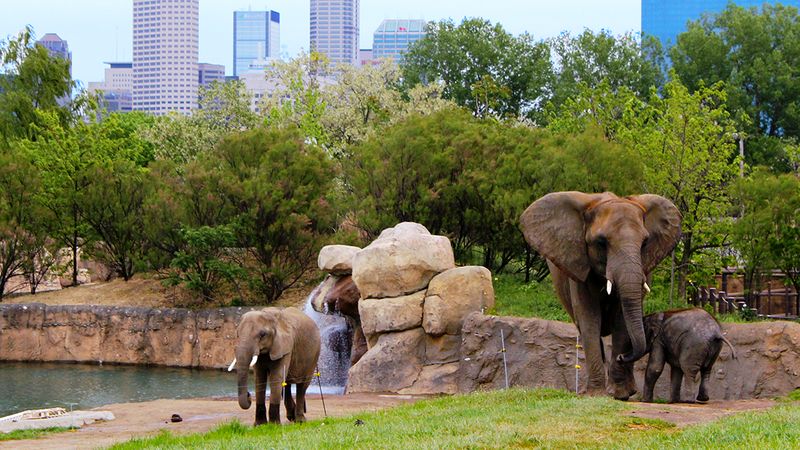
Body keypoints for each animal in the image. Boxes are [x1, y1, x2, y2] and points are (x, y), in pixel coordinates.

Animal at [521, 191, 681, 399]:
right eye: (601, 242)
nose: (621, 357)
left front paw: (620, 394)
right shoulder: (579, 266)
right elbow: (590, 320)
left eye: (645, 242)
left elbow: (622, 320)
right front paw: (596, 394)